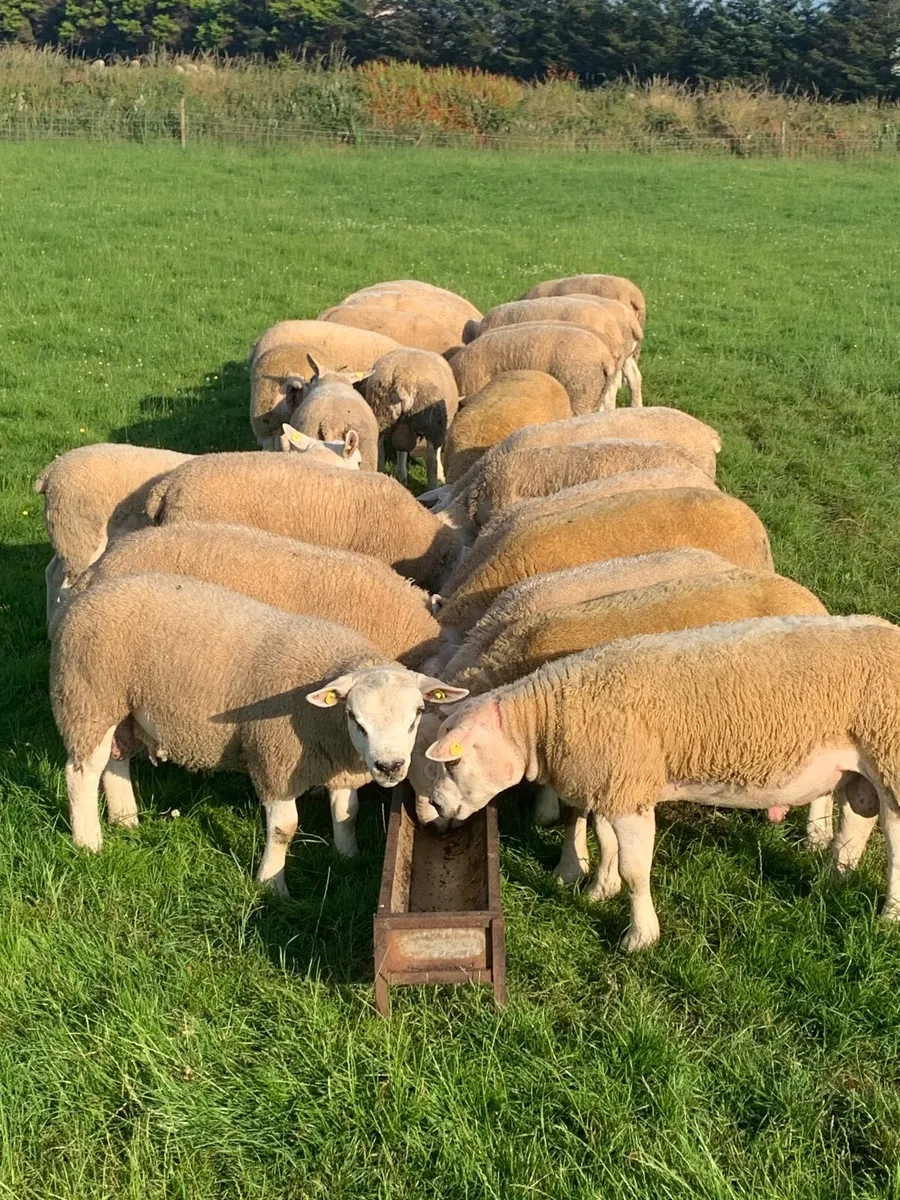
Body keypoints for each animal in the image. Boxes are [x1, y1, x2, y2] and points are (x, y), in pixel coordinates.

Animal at [51, 573, 465, 894]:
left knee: (115, 761)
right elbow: (284, 828)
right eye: (355, 717)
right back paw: (89, 843)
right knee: (81, 774)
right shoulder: (275, 760)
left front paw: (348, 858)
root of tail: (88, 593)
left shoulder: (337, 762)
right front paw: (271, 884)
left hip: (120, 707)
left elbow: (347, 813)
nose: (390, 767)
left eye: (416, 715)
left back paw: (126, 821)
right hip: (88, 696)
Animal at [364, 348, 460, 487]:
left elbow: (401, 450)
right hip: (432, 421)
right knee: (431, 461)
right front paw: (441, 475)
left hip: (381, 413)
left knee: (379, 452)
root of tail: (403, 378)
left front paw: (401, 474)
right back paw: (432, 486)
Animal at [422, 615, 900, 950]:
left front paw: (640, 936)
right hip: (858, 767)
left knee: (894, 840)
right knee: (856, 823)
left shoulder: (629, 789)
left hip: (890, 756)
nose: (437, 811)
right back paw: (830, 885)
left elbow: (635, 869)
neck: (546, 719)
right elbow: (605, 842)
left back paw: (889, 916)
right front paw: (599, 890)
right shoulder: (614, 783)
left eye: (451, 762)